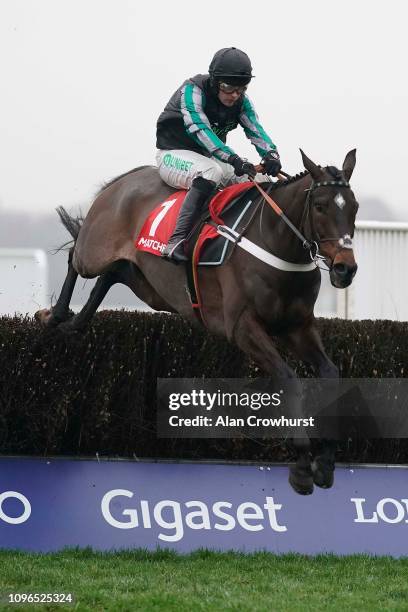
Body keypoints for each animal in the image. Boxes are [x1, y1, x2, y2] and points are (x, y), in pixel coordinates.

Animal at [36, 151, 358, 494]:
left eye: (354, 207)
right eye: (320, 205)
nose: (345, 269)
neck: (275, 243)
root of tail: (123, 181)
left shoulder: (297, 326)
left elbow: (331, 374)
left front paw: (325, 462)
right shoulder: (242, 327)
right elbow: (289, 379)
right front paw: (302, 465)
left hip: (149, 286)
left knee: (112, 275)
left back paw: (72, 324)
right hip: (95, 250)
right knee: (75, 256)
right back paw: (54, 315)